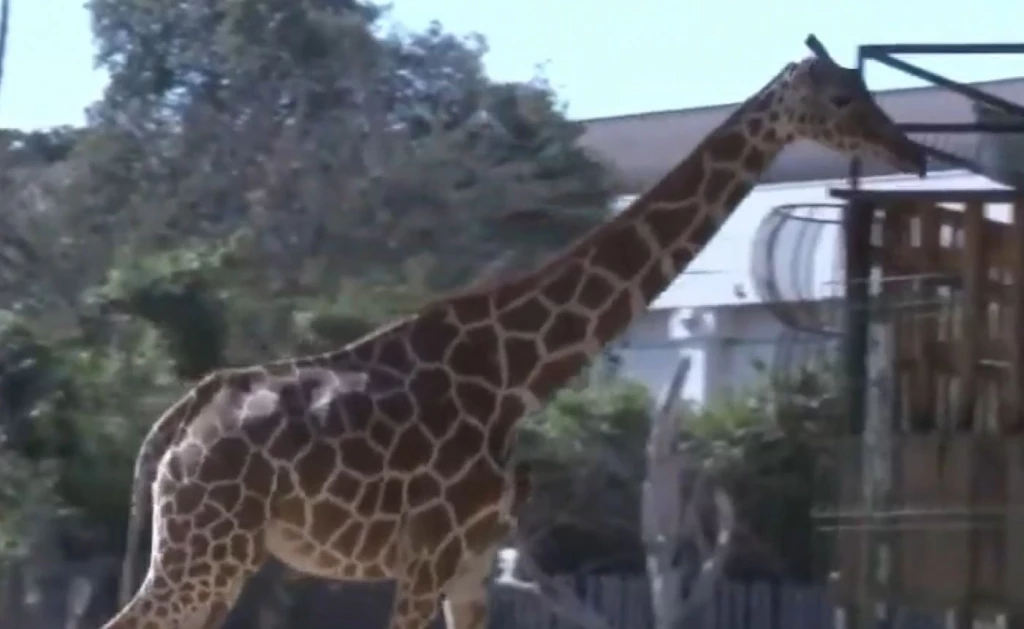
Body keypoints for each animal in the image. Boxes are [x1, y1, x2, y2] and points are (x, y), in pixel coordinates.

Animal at [101, 36, 925, 629]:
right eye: (843, 96)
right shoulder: (427, 554)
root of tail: (180, 423)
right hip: (209, 543)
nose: (911, 153)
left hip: (218, 549)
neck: (518, 374)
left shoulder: (472, 560)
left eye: (868, 90)